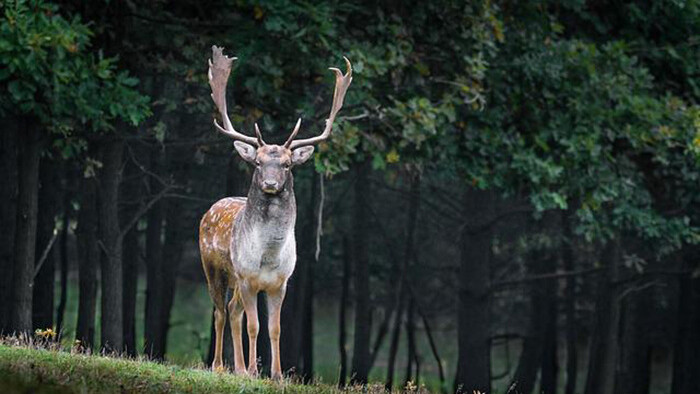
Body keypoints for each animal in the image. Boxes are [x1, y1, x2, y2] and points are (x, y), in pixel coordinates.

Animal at [197, 45, 350, 378]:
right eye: (257, 162)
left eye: (287, 164)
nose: (269, 183)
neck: (268, 257)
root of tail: (211, 208)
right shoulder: (247, 277)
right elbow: (254, 326)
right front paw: (256, 371)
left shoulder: (280, 283)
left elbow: (275, 329)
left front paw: (276, 374)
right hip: (213, 268)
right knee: (219, 311)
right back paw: (219, 366)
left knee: (232, 310)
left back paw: (239, 368)